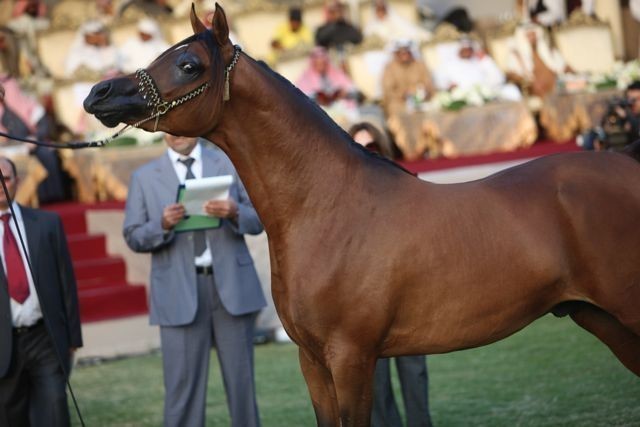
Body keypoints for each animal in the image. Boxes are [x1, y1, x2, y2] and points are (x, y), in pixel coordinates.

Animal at [83, 4, 640, 426]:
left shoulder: (351, 358)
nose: (98, 93)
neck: (328, 207)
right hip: (600, 317)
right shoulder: (313, 362)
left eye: (189, 65)